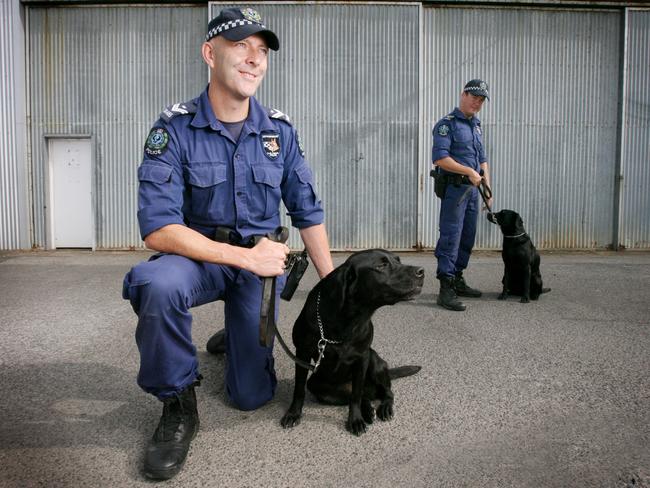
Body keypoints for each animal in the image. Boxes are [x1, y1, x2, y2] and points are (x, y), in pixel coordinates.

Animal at [278, 250, 420, 436]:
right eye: (381, 265)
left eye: (398, 261)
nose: (421, 272)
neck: (349, 319)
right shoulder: (302, 353)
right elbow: (299, 388)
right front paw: (293, 413)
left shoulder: (362, 357)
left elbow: (356, 396)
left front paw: (355, 420)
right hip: (318, 386)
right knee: (364, 396)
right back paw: (369, 410)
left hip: (375, 361)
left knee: (386, 392)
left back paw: (384, 408)